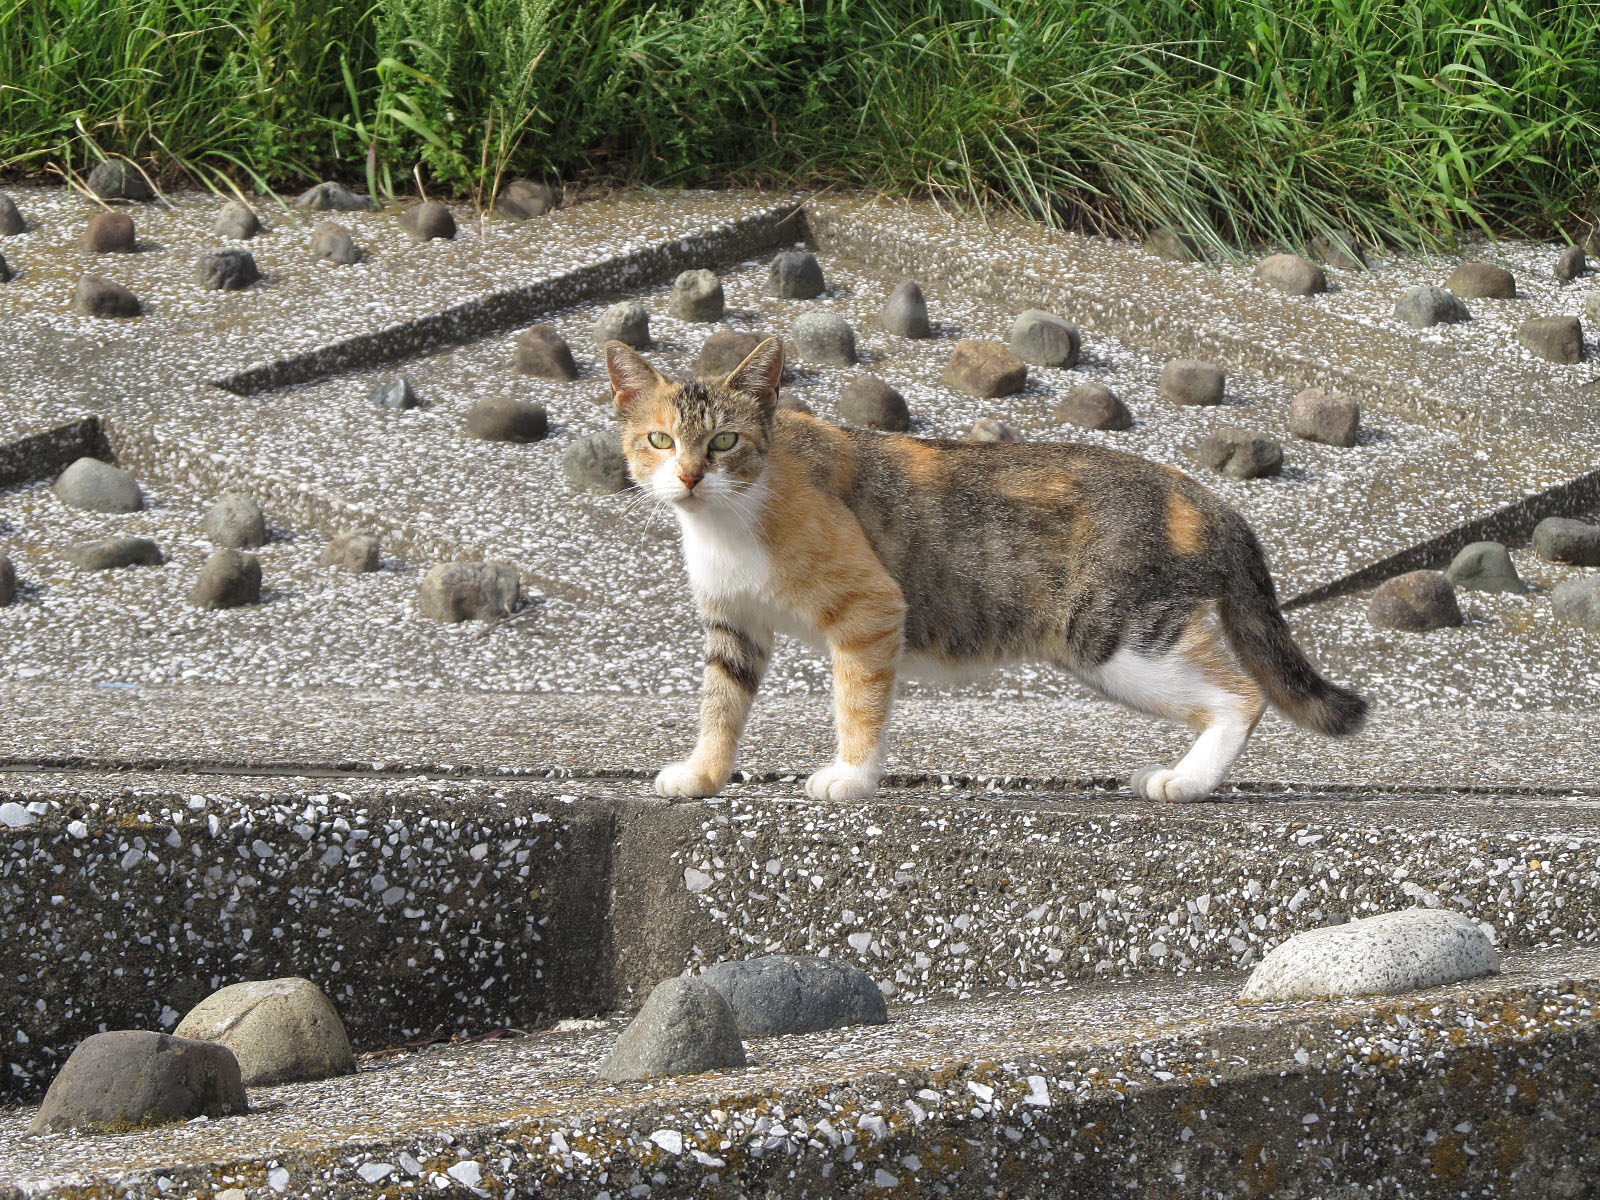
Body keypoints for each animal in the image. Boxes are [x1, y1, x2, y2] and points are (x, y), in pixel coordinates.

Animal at [604, 336, 1369, 809]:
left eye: (725, 441)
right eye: (660, 439)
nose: (690, 475)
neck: (729, 521)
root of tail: (1201, 494)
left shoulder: (871, 609)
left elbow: (857, 702)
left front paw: (850, 778)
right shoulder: (733, 624)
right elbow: (721, 703)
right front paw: (703, 774)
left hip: (1118, 638)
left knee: (1243, 696)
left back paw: (1185, 782)